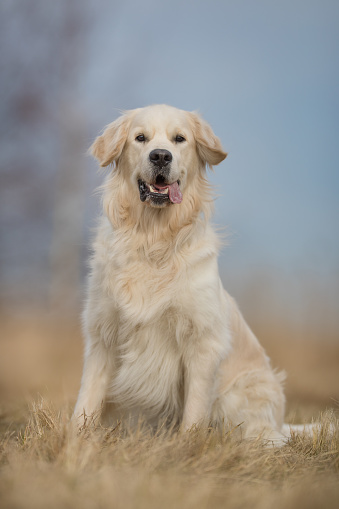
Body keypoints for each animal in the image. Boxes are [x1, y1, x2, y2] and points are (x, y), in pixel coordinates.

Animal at [73, 103, 288, 440]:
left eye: (179, 139)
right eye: (140, 138)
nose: (161, 156)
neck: (153, 239)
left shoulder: (202, 342)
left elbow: (195, 409)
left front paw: (187, 444)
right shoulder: (102, 333)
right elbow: (87, 399)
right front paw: (74, 441)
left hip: (245, 392)